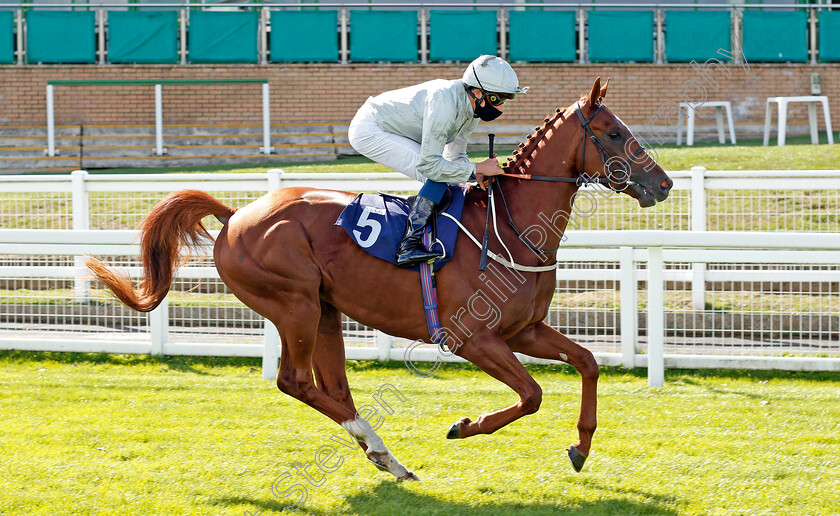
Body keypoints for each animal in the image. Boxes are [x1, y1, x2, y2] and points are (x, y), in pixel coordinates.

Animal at [88, 76, 672, 480]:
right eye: (614, 132)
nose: (663, 184)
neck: (508, 227)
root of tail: (235, 215)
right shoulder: (472, 338)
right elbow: (531, 394)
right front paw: (465, 426)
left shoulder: (522, 330)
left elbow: (588, 362)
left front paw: (581, 446)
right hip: (293, 303)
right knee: (294, 381)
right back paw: (381, 447)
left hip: (325, 311)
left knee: (331, 386)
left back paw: (385, 457)